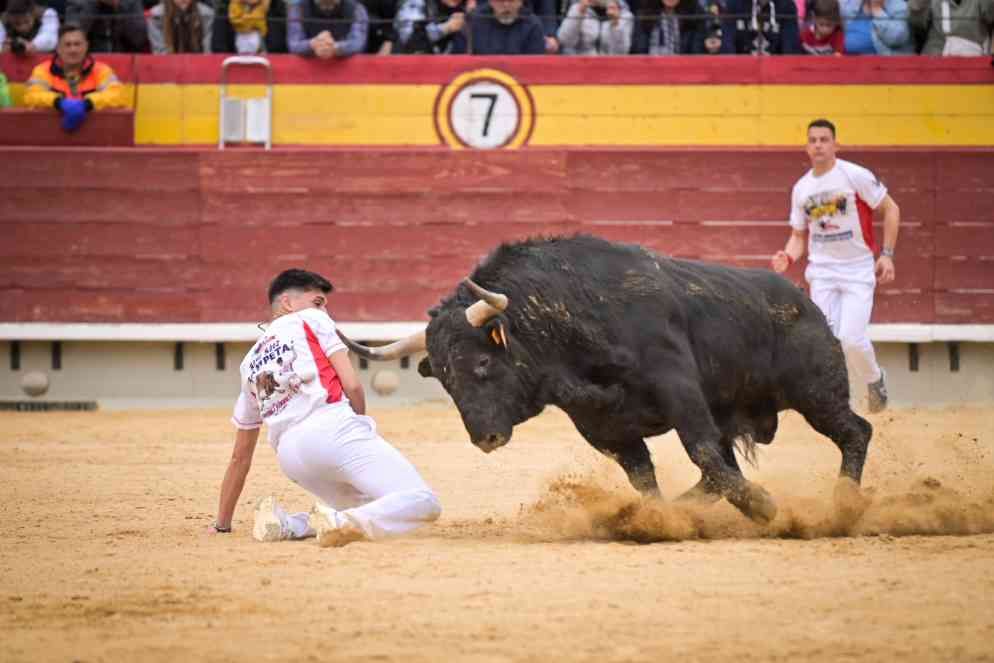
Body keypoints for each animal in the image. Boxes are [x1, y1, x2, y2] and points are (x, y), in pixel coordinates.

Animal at [340, 235, 868, 524]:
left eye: (483, 365)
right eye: (446, 382)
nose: (485, 439)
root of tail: (805, 302)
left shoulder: (679, 390)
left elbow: (699, 452)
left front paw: (763, 507)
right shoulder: (602, 426)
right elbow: (644, 475)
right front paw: (656, 517)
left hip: (815, 392)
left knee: (855, 431)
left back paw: (844, 505)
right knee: (720, 471)